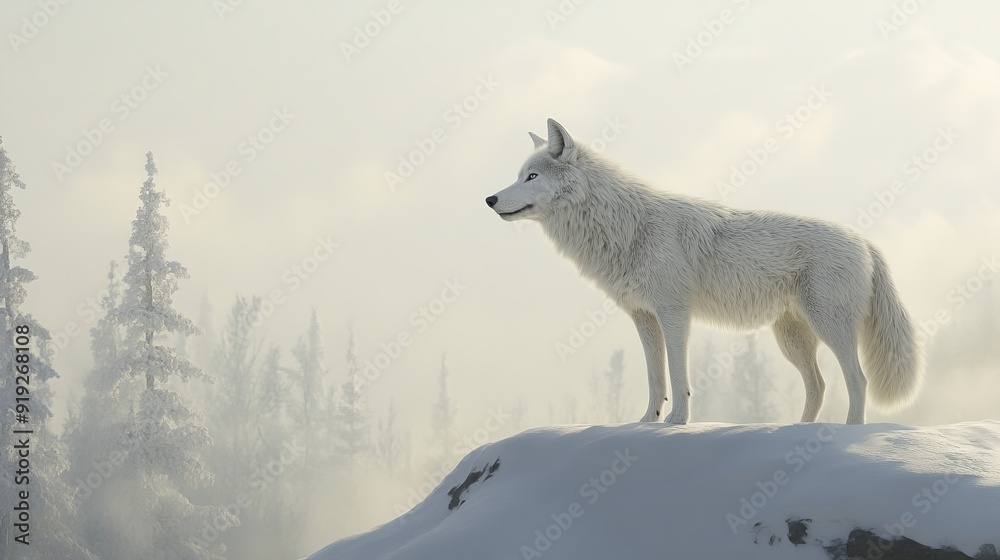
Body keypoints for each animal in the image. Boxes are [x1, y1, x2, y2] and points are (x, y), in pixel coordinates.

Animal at [486, 119, 923, 425]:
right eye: (520, 175)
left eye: (532, 176)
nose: (490, 199)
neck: (627, 227)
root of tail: (866, 242)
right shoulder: (643, 317)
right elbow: (655, 378)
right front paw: (646, 423)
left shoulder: (674, 314)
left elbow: (678, 376)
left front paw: (678, 422)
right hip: (792, 340)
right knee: (819, 386)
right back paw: (800, 431)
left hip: (829, 328)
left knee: (857, 380)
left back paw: (849, 432)